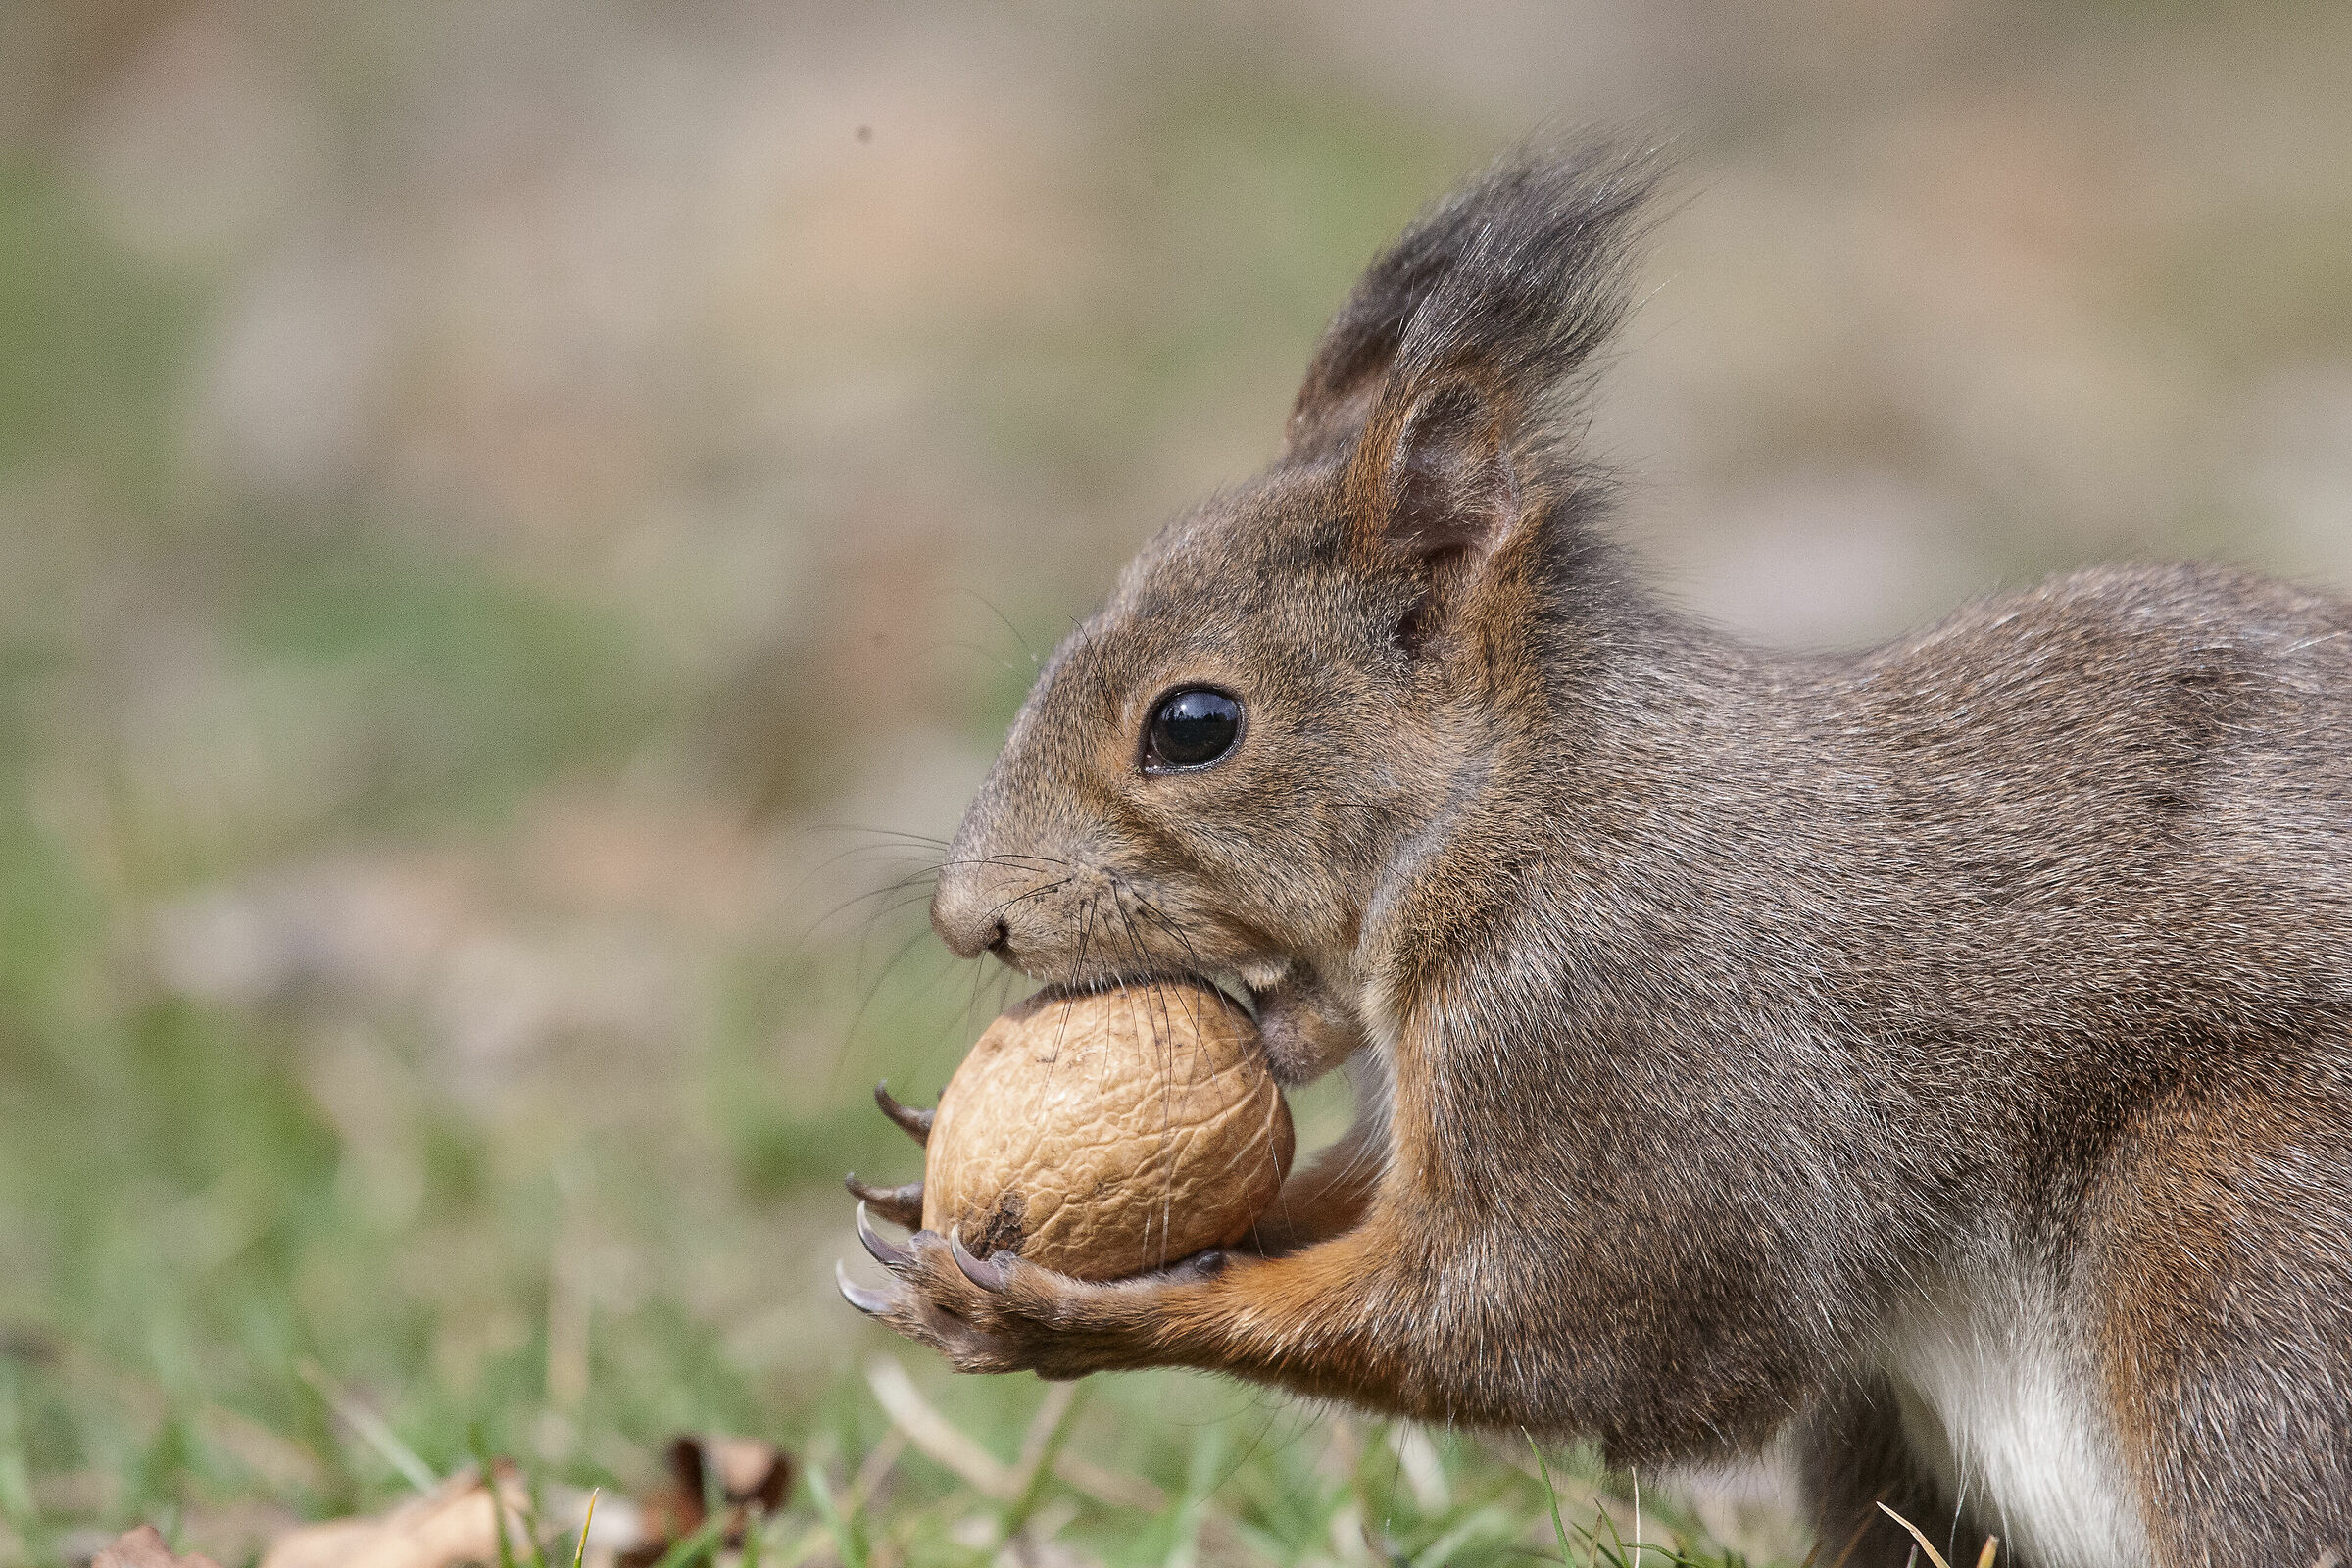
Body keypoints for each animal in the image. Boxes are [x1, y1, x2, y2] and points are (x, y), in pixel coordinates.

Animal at [837, 143, 2352, 1568]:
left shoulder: (1623, 1039)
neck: (1518, 812)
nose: (969, 919)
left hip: (2233, 1261)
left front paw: (1076, 1305)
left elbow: (1579, 1317)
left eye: (1194, 725)